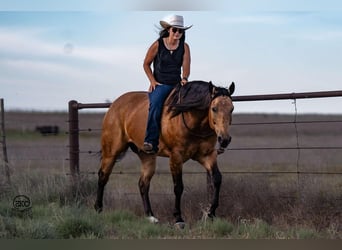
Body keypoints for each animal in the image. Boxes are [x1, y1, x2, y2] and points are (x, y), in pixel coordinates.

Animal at [95, 80, 234, 227]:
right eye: (214, 108)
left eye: (231, 108)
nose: (224, 139)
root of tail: (114, 105)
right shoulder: (176, 157)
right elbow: (178, 187)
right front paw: (178, 218)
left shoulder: (207, 155)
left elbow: (217, 179)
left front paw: (211, 213)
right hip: (111, 152)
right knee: (103, 176)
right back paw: (98, 209)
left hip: (147, 156)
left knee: (143, 184)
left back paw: (150, 216)